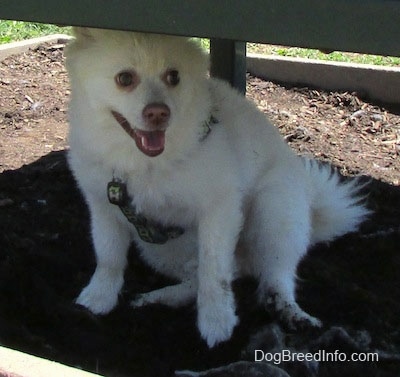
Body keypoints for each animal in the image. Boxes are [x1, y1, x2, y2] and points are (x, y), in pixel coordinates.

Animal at [65, 28, 368, 346]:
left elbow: (215, 272)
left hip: (276, 212)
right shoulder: (104, 207)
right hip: (161, 249)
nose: (158, 113)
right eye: (124, 78)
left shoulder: (219, 209)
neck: (145, 164)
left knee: (273, 276)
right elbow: (108, 256)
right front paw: (98, 298)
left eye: (173, 76)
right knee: (204, 275)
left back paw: (291, 312)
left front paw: (216, 321)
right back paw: (159, 298)